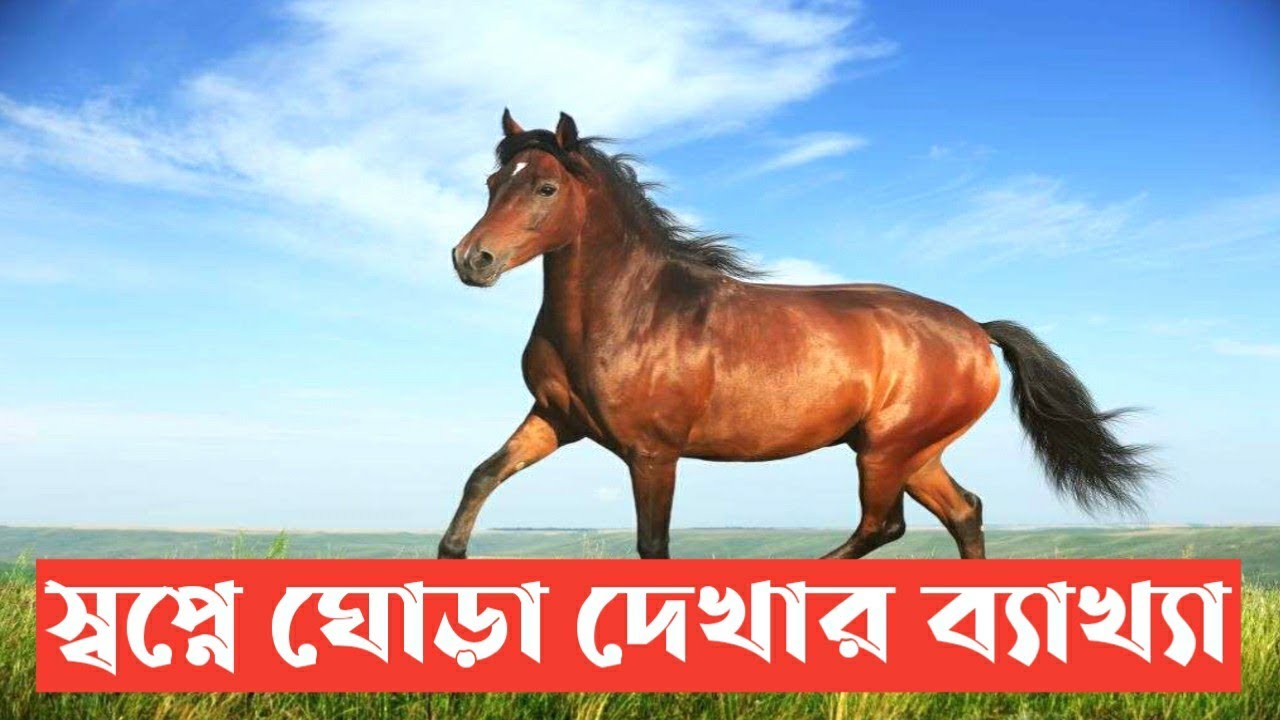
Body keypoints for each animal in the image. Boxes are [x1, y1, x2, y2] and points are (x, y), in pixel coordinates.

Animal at [439, 109, 1155, 560]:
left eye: (546, 186)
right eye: (492, 181)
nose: (471, 260)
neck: (627, 312)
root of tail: (977, 332)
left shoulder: (653, 453)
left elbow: (653, 544)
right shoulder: (555, 419)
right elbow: (480, 477)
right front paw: (452, 555)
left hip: (887, 451)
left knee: (883, 525)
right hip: (913, 453)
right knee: (964, 513)